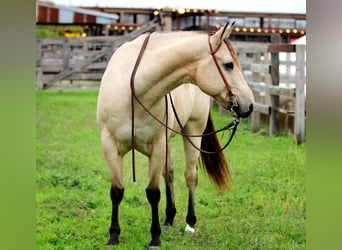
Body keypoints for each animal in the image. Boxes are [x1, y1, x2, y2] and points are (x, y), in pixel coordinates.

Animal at [96, 22, 254, 248]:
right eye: (229, 65)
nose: (249, 105)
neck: (132, 89)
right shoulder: (109, 144)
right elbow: (117, 190)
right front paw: (113, 236)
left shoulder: (157, 146)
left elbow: (153, 193)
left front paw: (154, 238)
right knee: (169, 173)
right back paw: (169, 219)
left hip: (193, 133)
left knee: (190, 176)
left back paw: (190, 224)